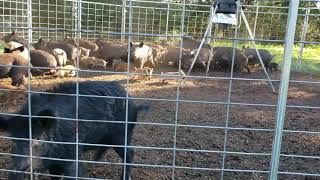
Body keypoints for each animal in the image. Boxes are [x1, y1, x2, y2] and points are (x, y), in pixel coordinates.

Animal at [0, 81, 150, 179]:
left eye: (37, 139)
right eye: (14, 140)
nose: (17, 172)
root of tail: (133, 103)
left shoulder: (72, 153)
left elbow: (74, 173)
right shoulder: (54, 162)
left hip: (122, 135)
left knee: (130, 153)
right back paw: (95, 159)